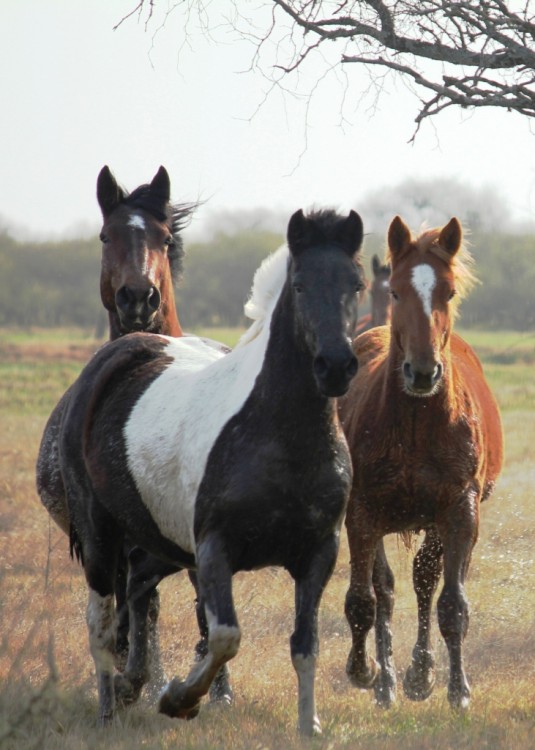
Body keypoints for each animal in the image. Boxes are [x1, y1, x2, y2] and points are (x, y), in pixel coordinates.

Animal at [59, 207, 368, 736]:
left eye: (358, 284)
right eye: (300, 285)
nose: (336, 366)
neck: (279, 438)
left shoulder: (317, 554)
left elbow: (304, 645)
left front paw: (309, 726)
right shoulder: (214, 550)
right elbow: (225, 635)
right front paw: (180, 699)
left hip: (163, 541)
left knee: (138, 588)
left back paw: (132, 684)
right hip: (101, 536)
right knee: (100, 623)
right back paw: (109, 706)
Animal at [342, 216, 504, 712]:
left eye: (448, 293)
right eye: (395, 292)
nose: (422, 372)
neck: (415, 424)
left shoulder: (458, 511)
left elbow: (450, 602)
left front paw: (456, 688)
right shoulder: (362, 511)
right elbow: (365, 599)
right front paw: (365, 671)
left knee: (425, 582)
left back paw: (417, 673)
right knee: (386, 590)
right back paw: (386, 681)